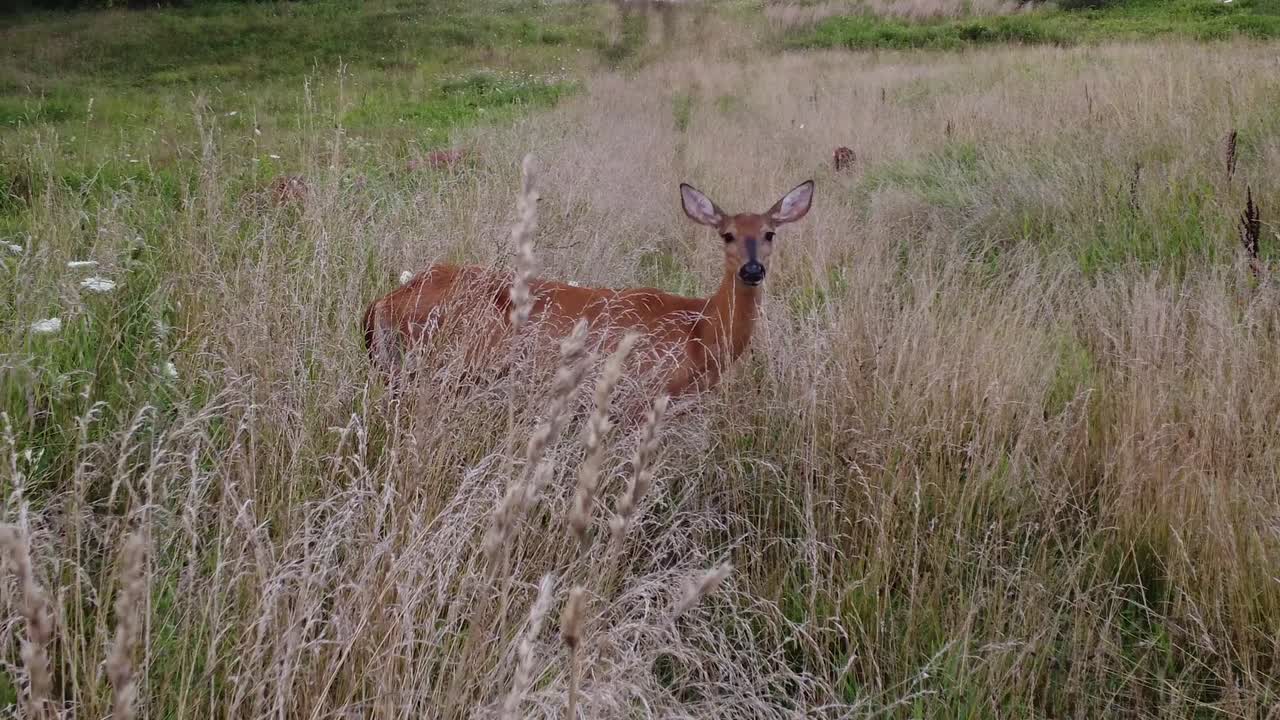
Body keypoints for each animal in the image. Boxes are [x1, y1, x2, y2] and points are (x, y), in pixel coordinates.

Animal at [363, 179, 815, 401]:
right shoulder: (640, 391)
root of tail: (381, 304)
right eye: (727, 235)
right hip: (447, 365)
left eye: (770, 233)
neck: (698, 331)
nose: (752, 269)